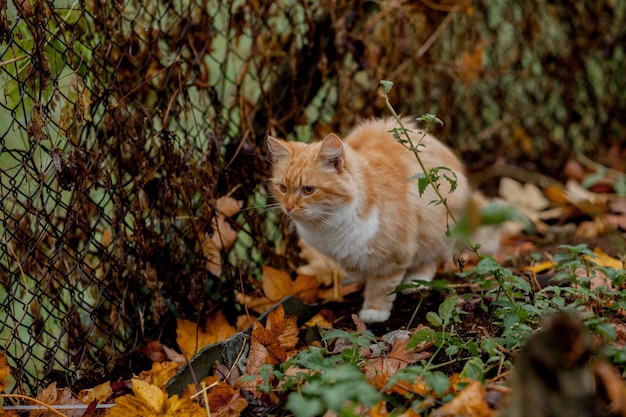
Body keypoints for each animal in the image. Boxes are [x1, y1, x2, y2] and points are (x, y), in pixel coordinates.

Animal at [266, 117, 470, 322]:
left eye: (308, 189)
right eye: (283, 188)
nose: (288, 207)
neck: (328, 226)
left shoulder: (393, 257)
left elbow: (381, 287)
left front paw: (374, 310)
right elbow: (355, 267)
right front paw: (358, 279)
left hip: (435, 231)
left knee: (431, 258)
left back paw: (416, 281)